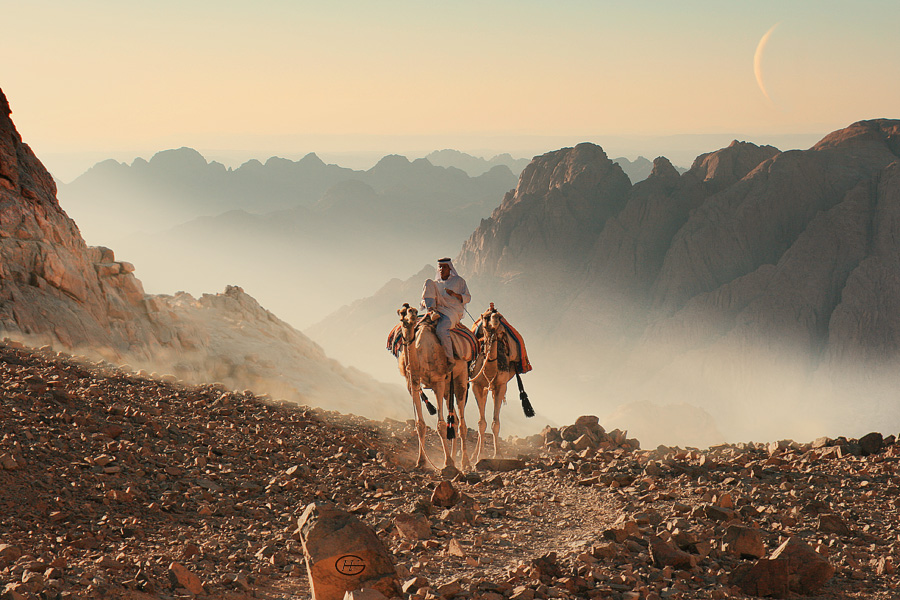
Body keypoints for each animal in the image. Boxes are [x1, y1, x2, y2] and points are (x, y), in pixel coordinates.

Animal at [398, 304, 474, 468]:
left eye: (414, 311)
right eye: (402, 312)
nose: (412, 316)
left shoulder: (438, 382)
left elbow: (441, 425)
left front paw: (448, 462)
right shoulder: (413, 383)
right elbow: (420, 424)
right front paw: (421, 461)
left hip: (460, 378)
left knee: (462, 423)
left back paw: (465, 462)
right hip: (447, 388)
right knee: (455, 420)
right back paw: (456, 458)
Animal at [468, 308, 532, 462]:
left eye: (499, 316)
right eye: (486, 317)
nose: (495, 319)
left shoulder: (501, 385)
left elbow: (495, 423)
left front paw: (497, 455)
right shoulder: (475, 385)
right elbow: (481, 422)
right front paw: (480, 455)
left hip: (492, 388)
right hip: (483, 387)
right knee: (482, 414)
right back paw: (474, 454)